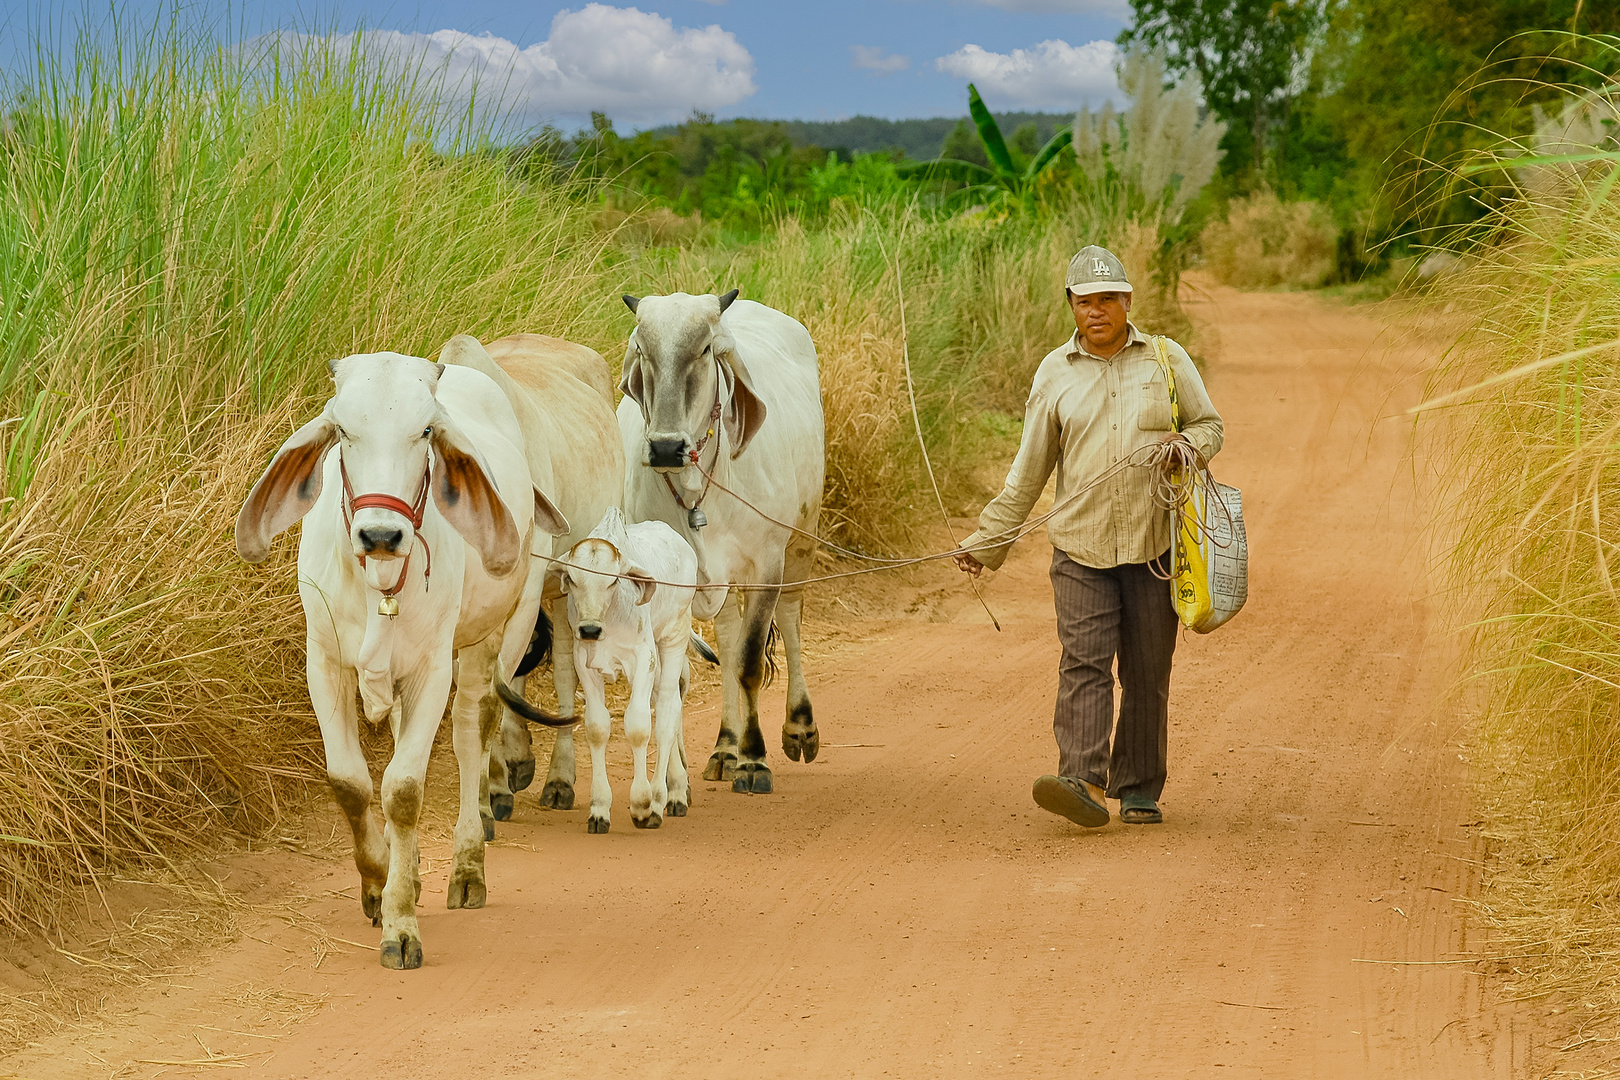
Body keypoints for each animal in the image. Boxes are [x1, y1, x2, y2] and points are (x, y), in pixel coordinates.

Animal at [234, 354, 570, 971]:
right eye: (343, 430)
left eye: (426, 431)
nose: (381, 534)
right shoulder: (325, 665)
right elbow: (351, 782)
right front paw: (379, 882)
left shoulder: (431, 670)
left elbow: (405, 790)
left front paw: (401, 925)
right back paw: (407, 871)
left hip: (499, 630)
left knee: (472, 729)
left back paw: (467, 864)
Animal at [434, 335, 622, 819]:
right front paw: (499, 774)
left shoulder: (532, 586)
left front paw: (493, 789)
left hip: (568, 590)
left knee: (563, 673)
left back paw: (559, 778)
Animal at [550, 511, 716, 835]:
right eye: (572, 579)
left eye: (614, 580)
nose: (589, 630)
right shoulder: (584, 664)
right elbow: (596, 728)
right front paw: (599, 809)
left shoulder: (642, 659)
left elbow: (639, 728)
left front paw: (642, 803)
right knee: (670, 707)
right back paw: (676, 788)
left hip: (672, 639)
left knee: (667, 715)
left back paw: (665, 797)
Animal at [615, 286, 822, 793]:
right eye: (642, 350)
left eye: (706, 349)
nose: (666, 447)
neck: (696, 489)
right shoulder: (667, 581)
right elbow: (678, 677)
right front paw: (677, 778)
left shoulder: (767, 565)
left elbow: (750, 661)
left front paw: (755, 760)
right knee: (726, 640)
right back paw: (725, 747)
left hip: (800, 543)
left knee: (789, 621)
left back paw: (798, 728)